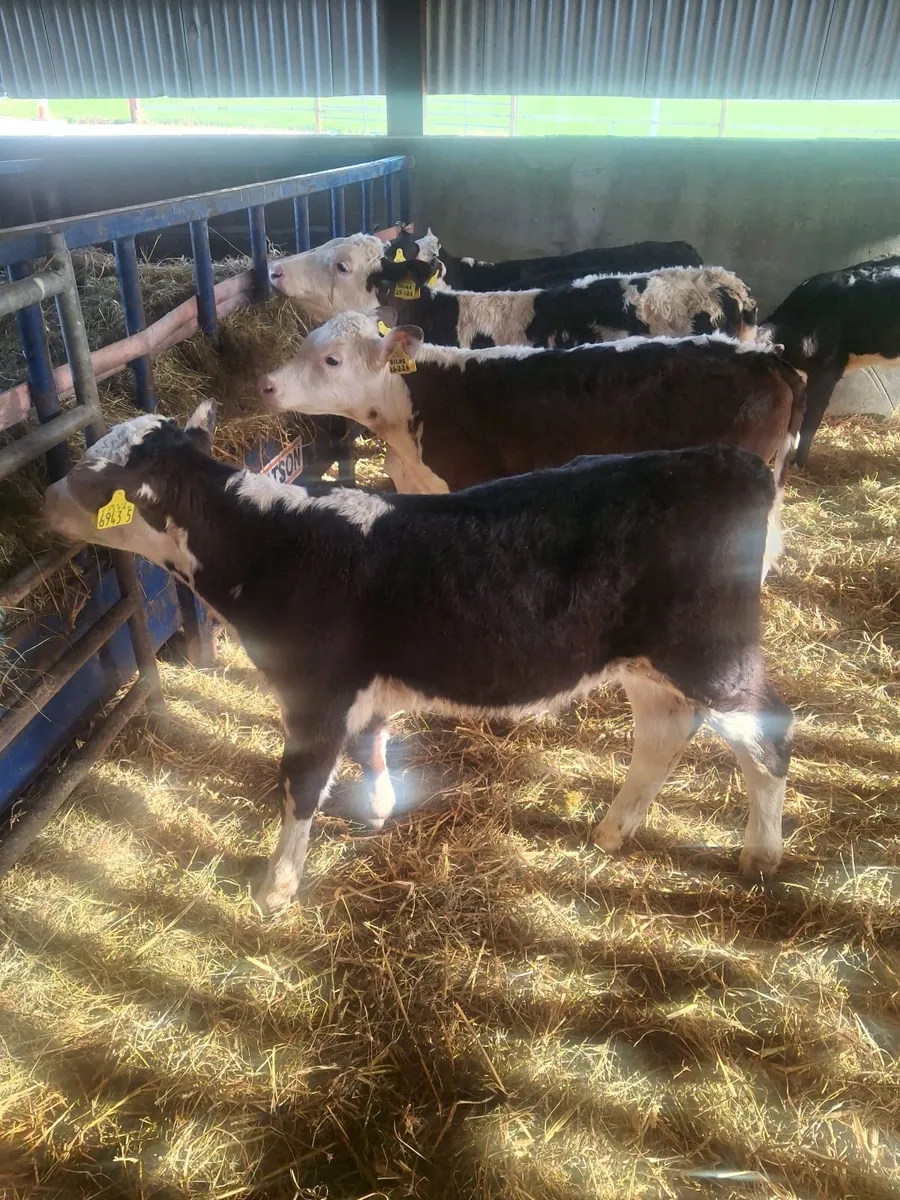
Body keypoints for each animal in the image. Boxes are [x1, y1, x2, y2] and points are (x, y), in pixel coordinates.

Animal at [42, 402, 795, 911]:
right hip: (645, 659)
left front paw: (276, 886)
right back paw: (613, 830)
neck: (270, 541)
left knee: (770, 735)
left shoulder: (314, 693)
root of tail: (726, 460)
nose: (40, 500)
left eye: (91, 479)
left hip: (711, 654)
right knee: (665, 732)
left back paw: (761, 853)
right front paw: (379, 807)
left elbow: (299, 785)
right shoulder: (363, 687)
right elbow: (373, 743)